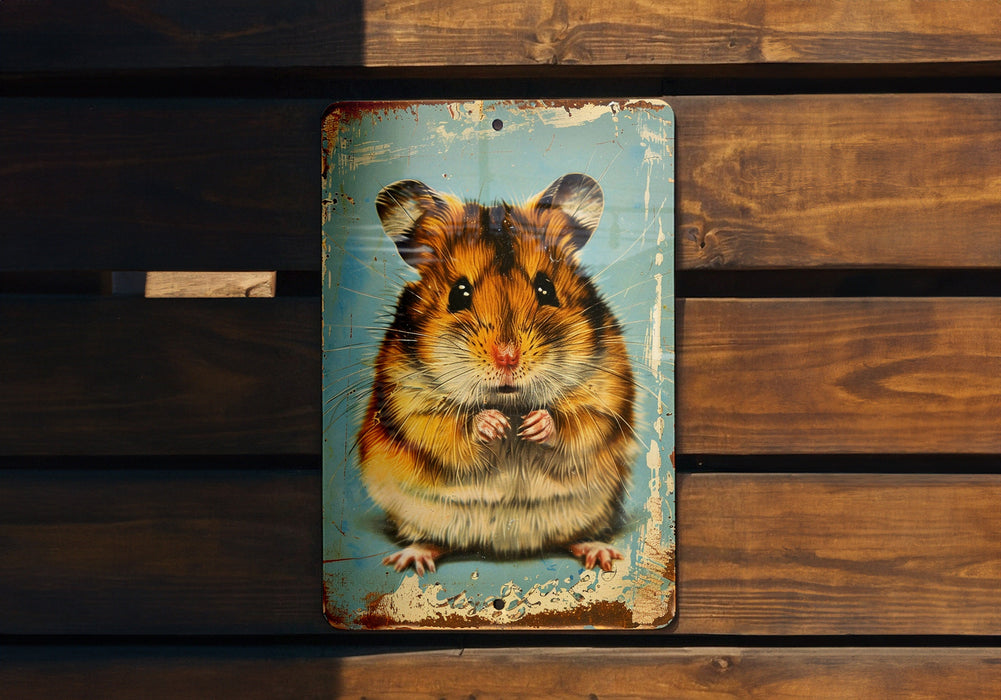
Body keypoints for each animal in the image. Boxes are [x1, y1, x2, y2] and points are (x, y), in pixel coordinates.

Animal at [358, 173, 636, 575]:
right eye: (458, 294)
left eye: (546, 289)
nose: (507, 358)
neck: (510, 403)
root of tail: (506, 545)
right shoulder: (408, 400)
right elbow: (447, 427)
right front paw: (495, 425)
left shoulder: (605, 391)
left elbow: (577, 422)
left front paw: (534, 425)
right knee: (436, 541)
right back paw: (410, 559)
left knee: (573, 537)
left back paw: (601, 554)